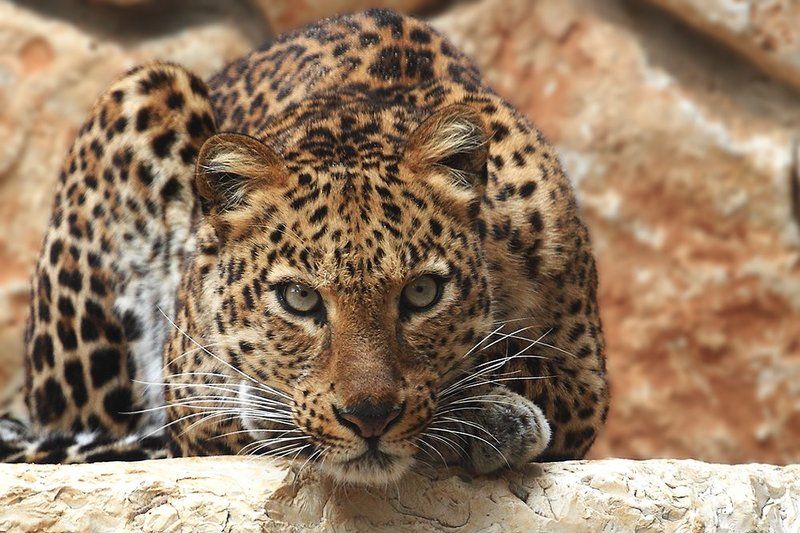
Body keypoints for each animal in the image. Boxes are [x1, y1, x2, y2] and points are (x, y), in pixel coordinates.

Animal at [0, 9, 608, 485]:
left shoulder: (586, 376)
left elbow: (521, 365)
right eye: (299, 300)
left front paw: (487, 414)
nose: (369, 417)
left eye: (422, 293)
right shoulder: (185, 387)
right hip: (147, 89)